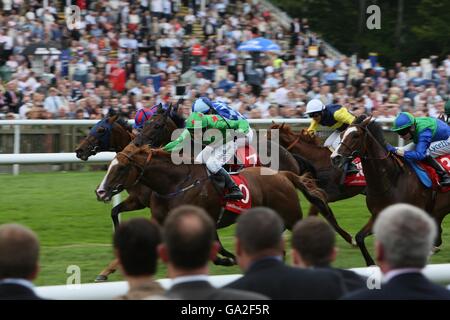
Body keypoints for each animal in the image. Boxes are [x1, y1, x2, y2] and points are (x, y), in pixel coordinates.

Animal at [94, 144, 334, 268]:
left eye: (121, 168)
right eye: (110, 165)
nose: (101, 191)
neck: (175, 184)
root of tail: (282, 174)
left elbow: (216, 249)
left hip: (291, 215)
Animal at [330, 115, 450, 264]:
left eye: (356, 136)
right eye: (341, 134)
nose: (335, 158)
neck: (391, 179)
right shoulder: (378, 215)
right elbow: (359, 237)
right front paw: (371, 264)